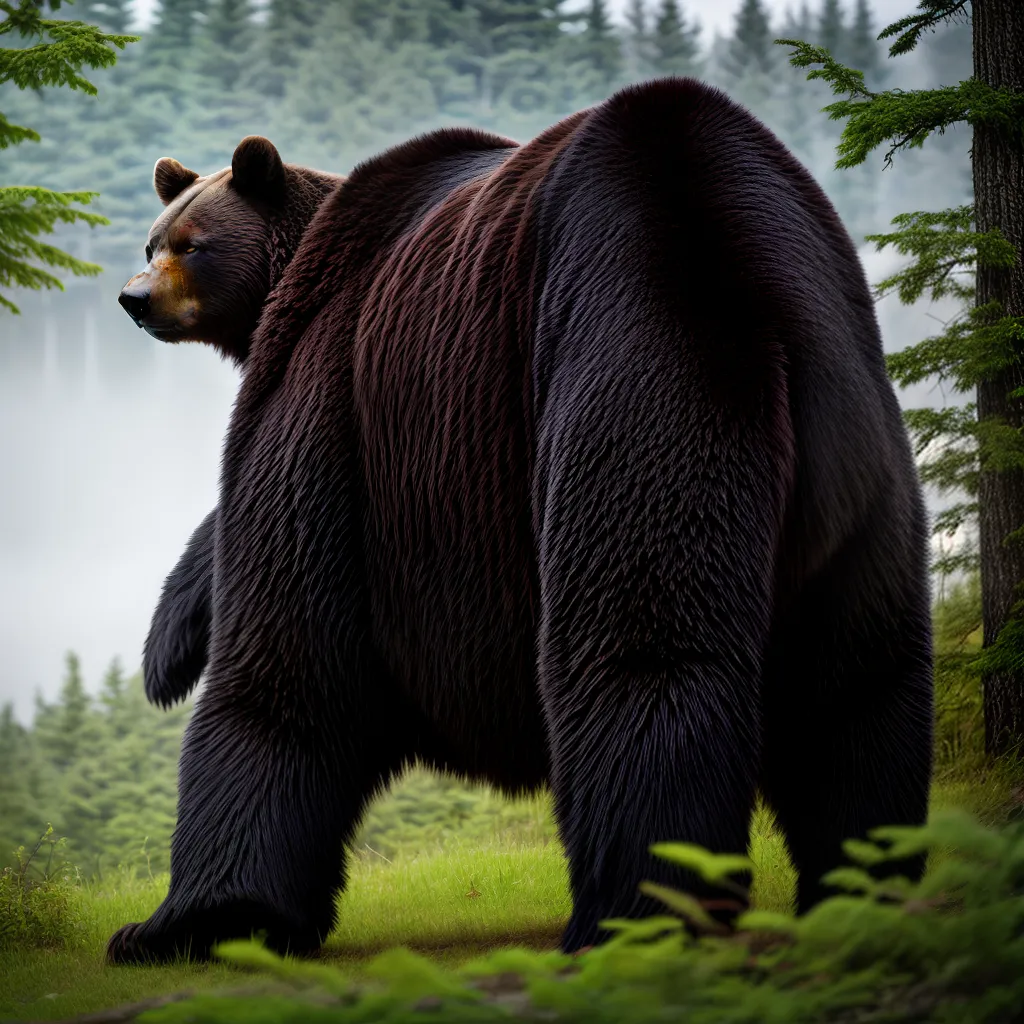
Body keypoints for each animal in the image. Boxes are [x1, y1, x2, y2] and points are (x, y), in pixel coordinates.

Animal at [108, 78, 934, 965]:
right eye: (153, 238)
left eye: (190, 244)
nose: (134, 297)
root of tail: (758, 295)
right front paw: (166, 647)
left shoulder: (335, 398)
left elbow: (285, 654)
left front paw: (187, 919)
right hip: (856, 448)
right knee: (858, 681)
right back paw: (860, 887)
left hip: (633, 373)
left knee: (644, 659)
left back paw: (627, 916)